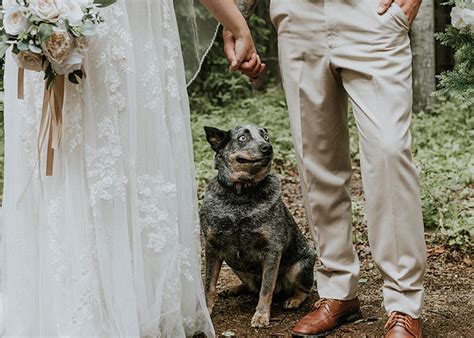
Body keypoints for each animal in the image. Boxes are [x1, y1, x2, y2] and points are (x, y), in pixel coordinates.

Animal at [200, 125, 314, 328]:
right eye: (242, 138)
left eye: (265, 136)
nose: (267, 147)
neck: (240, 195)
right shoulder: (212, 246)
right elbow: (209, 285)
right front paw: (207, 311)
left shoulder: (272, 250)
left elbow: (266, 288)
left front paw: (261, 316)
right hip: (236, 267)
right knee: (250, 287)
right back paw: (233, 288)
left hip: (300, 266)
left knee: (302, 290)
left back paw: (293, 299)